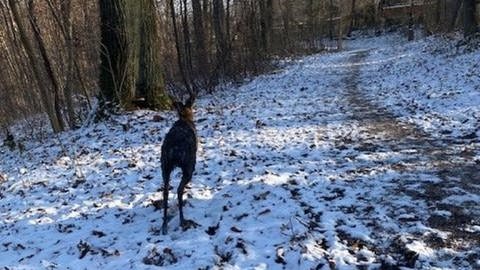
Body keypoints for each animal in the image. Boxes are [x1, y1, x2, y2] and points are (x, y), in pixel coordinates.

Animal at [161, 93, 199, 234]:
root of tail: (174, 150)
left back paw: (164, 225)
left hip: (164, 165)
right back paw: (183, 220)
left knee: (165, 192)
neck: (185, 119)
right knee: (178, 190)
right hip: (188, 165)